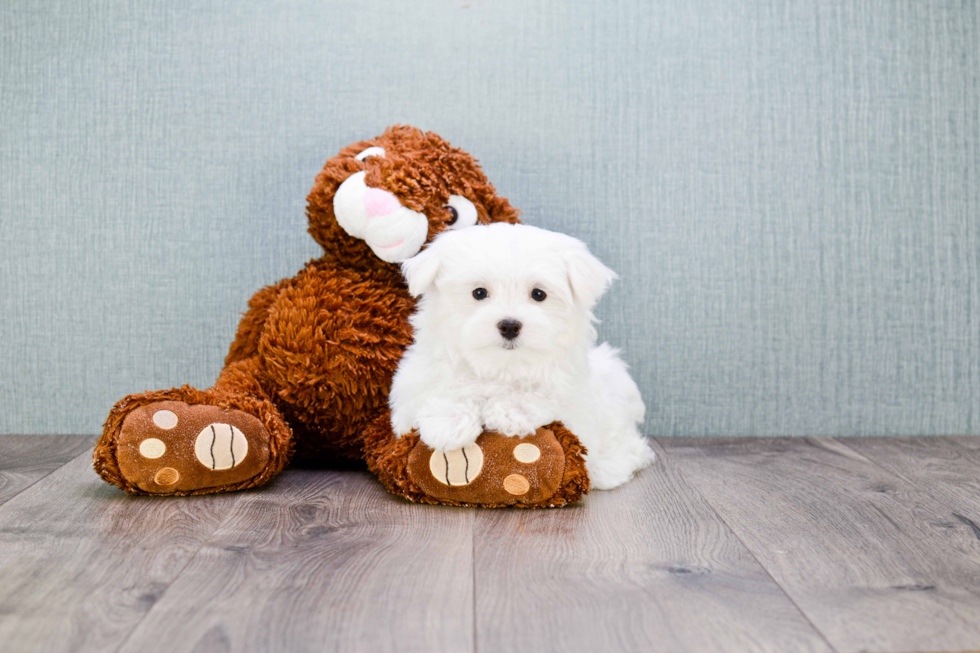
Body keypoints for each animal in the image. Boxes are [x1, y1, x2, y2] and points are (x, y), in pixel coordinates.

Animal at [386, 222, 656, 486]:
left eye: (538, 294)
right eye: (479, 293)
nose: (509, 325)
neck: (502, 367)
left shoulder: (573, 400)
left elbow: (544, 394)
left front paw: (511, 411)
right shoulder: (413, 385)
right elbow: (441, 388)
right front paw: (448, 422)